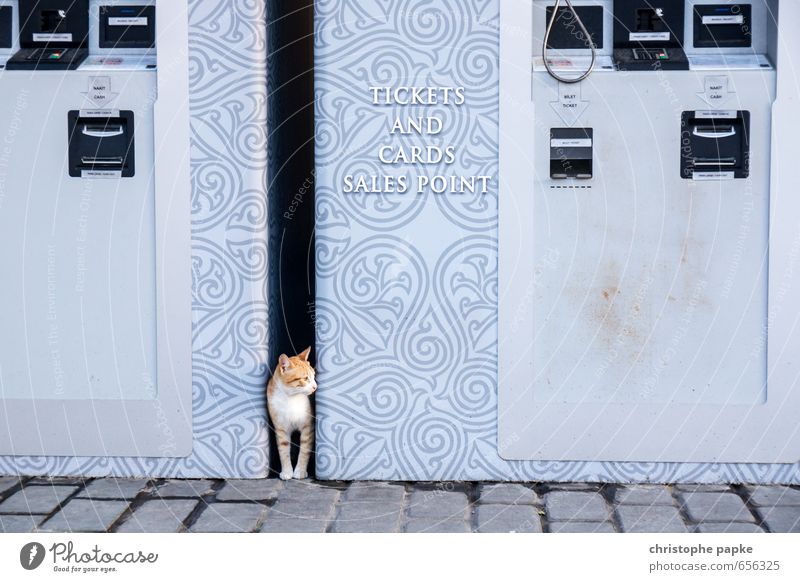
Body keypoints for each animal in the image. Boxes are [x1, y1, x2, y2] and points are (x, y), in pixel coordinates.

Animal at [270, 350, 318, 482]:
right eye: (305, 378)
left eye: (313, 376)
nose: (315, 386)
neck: (290, 398)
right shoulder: (281, 429)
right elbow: (283, 451)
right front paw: (287, 471)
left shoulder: (308, 427)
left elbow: (304, 450)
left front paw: (300, 471)